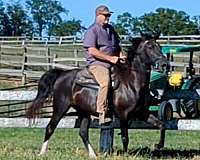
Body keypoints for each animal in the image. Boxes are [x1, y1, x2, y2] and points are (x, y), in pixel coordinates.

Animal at [26, 33, 167, 158]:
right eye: (150, 46)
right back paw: (42, 153)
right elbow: (125, 137)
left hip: (83, 112)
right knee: (50, 127)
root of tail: (62, 74)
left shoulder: (142, 113)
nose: (164, 64)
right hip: (60, 108)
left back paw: (92, 155)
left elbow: (161, 125)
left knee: (83, 133)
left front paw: (157, 146)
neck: (131, 82)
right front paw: (126, 155)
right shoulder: (123, 115)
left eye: (159, 46)